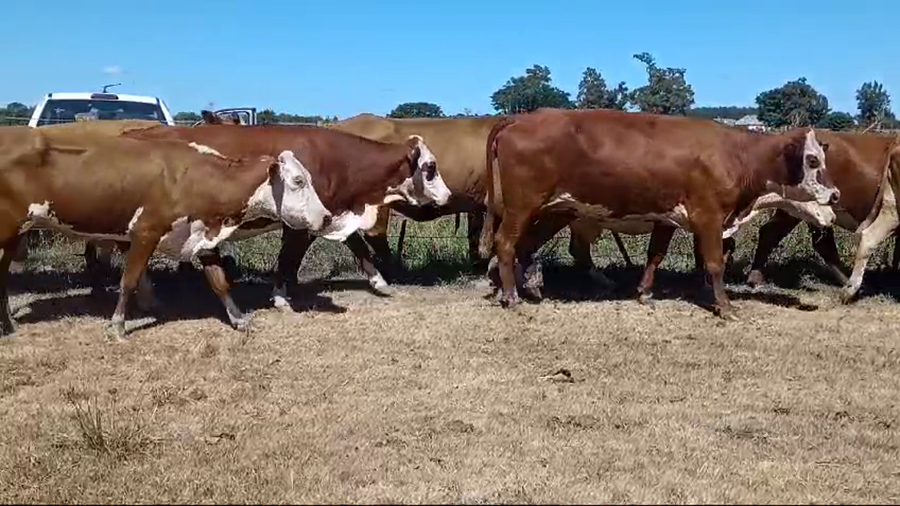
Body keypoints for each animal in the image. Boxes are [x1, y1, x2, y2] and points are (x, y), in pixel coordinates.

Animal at [0, 121, 338, 340]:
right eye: (298, 181)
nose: (325, 217)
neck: (190, 177)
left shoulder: (203, 236)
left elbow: (220, 282)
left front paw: (239, 320)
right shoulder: (145, 233)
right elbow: (128, 281)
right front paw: (117, 326)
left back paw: (9, 326)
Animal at [478, 108, 840, 319]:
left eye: (823, 157)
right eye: (812, 160)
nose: (836, 195)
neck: (736, 154)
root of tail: (521, 117)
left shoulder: (669, 218)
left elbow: (655, 255)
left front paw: (644, 293)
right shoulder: (708, 217)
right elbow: (714, 263)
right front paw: (724, 306)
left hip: (552, 209)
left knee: (522, 247)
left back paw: (526, 288)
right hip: (523, 206)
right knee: (505, 244)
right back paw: (512, 297)